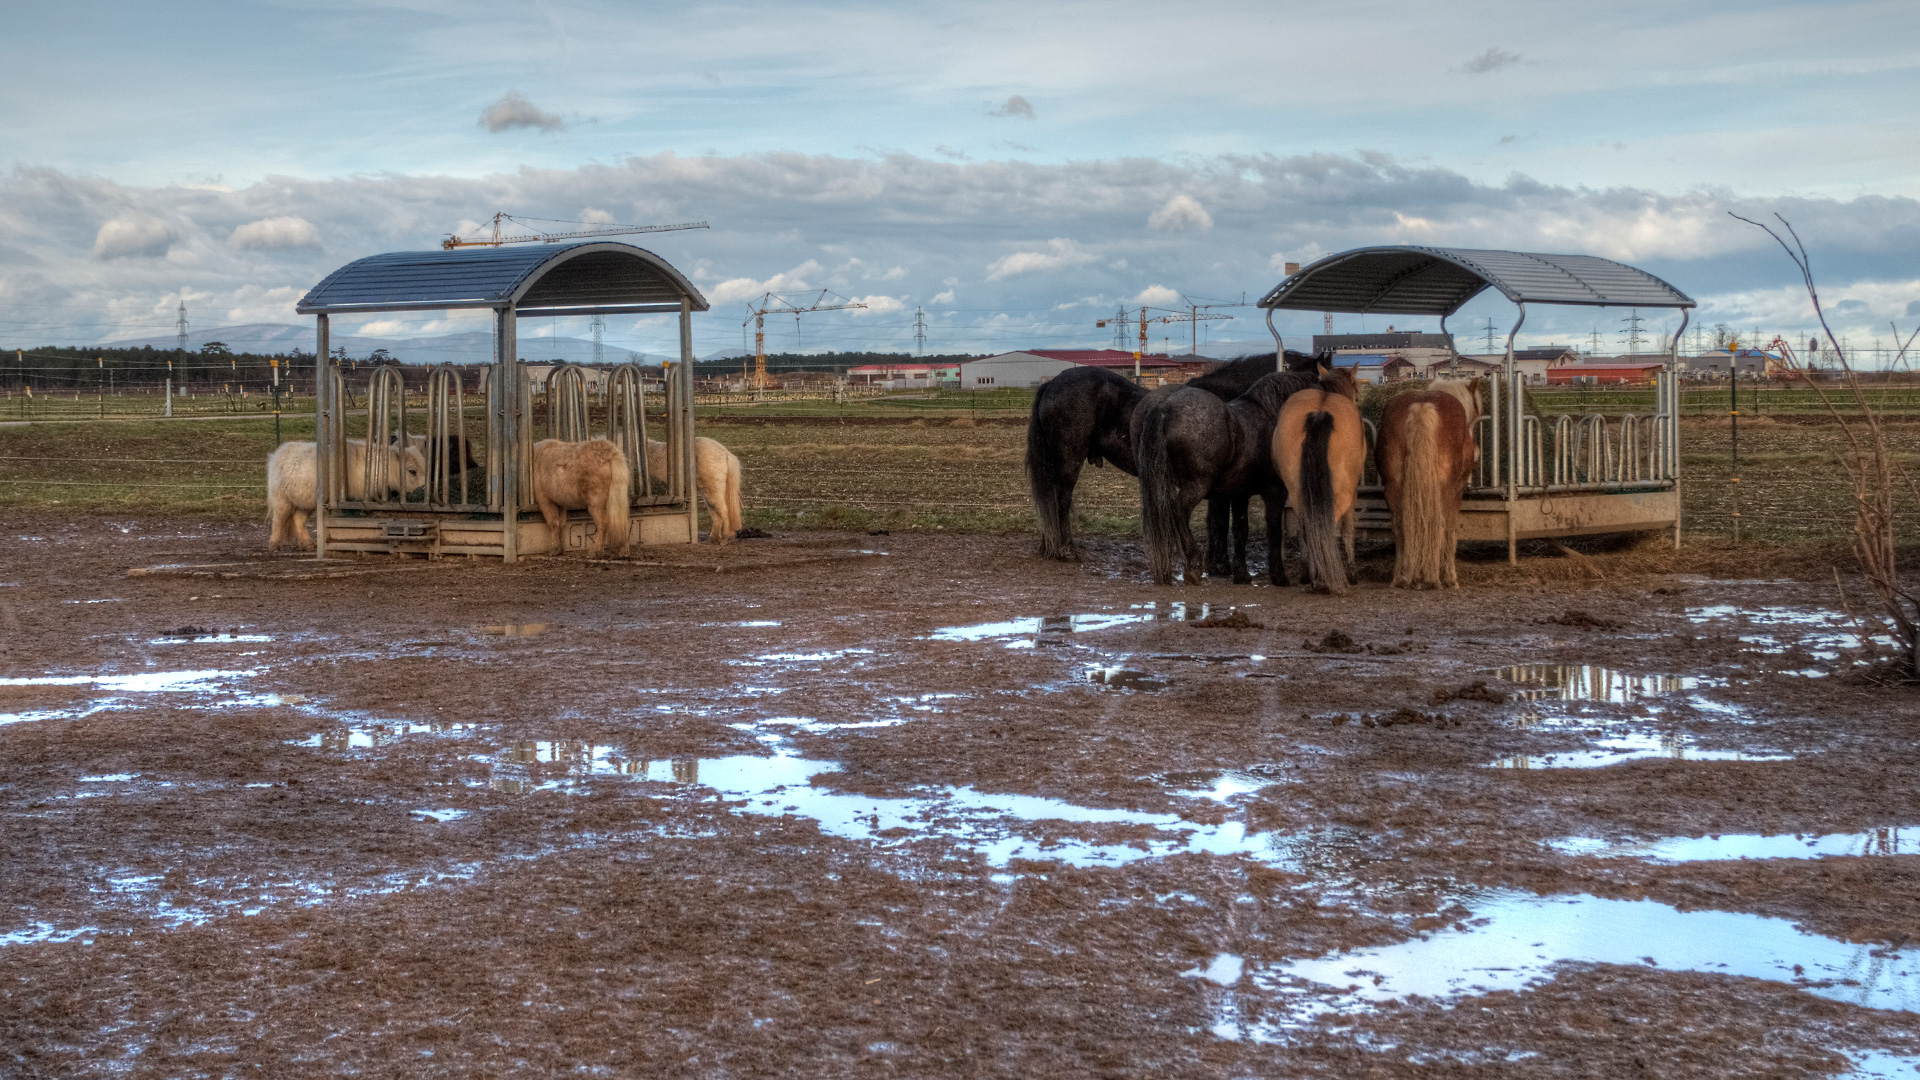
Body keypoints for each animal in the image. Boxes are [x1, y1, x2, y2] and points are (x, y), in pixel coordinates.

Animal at [263, 434, 424, 549]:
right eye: (412, 471)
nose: (422, 489)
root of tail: (279, 452)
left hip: (305, 504)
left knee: (299, 520)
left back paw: (307, 544)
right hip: (282, 502)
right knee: (278, 521)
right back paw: (274, 545)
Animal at [1029, 351, 1328, 557]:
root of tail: (1052, 384)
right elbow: (1219, 521)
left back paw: (1050, 545)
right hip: (1069, 458)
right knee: (1061, 498)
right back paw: (1065, 548)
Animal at [1128, 365, 1328, 584]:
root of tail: (1165, 407)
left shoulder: (1239, 493)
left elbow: (1240, 529)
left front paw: (1241, 574)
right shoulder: (1275, 491)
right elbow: (1273, 530)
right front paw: (1279, 576)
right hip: (1196, 485)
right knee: (1178, 512)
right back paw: (1193, 565)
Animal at [1274, 365, 1367, 591]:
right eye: (1357, 396)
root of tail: (1319, 413)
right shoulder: (1353, 492)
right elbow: (1347, 529)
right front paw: (1353, 572)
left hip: (1297, 491)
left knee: (1306, 527)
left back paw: (1310, 574)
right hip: (1341, 492)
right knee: (1331, 524)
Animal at [1382, 374, 1482, 584]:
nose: (1477, 453)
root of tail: (1421, 407)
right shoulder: (1456, 490)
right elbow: (1450, 529)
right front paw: (1450, 576)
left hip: (1393, 488)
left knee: (1400, 525)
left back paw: (1402, 576)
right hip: (1444, 490)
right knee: (1440, 524)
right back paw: (1434, 578)